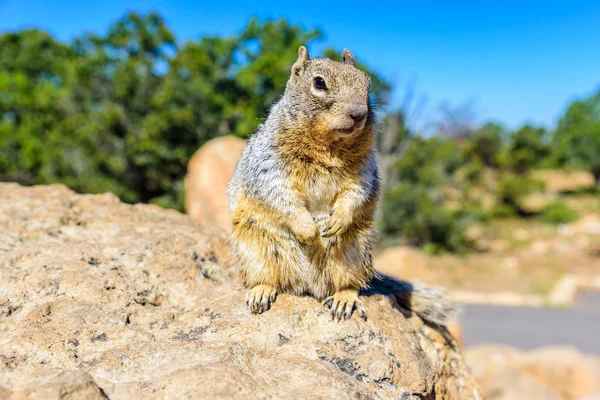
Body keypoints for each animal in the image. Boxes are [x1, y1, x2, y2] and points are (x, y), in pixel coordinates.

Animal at [227, 45, 452, 324]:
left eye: (367, 84)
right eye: (319, 82)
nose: (359, 114)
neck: (329, 144)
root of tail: (306, 286)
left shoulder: (365, 171)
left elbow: (357, 193)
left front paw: (337, 221)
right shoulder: (269, 165)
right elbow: (279, 193)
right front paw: (309, 231)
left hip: (354, 252)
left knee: (349, 284)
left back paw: (344, 299)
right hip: (255, 248)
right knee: (266, 277)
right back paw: (261, 291)